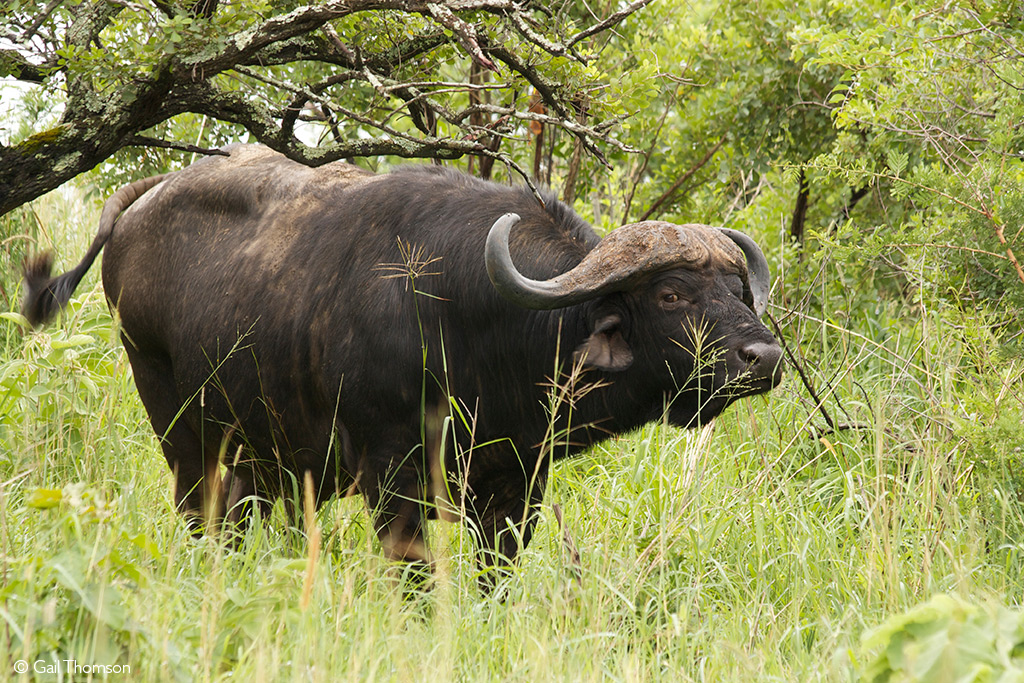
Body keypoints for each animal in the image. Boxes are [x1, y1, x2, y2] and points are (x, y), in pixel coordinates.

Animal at [24, 144, 782, 577]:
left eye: (735, 287)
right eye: (671, 292)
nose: (765, 355)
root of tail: (143, 201)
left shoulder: (516, 487)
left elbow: (494, 577)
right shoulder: (392, 477)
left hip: (260, 457)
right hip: (182, 431)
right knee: (201, 516)